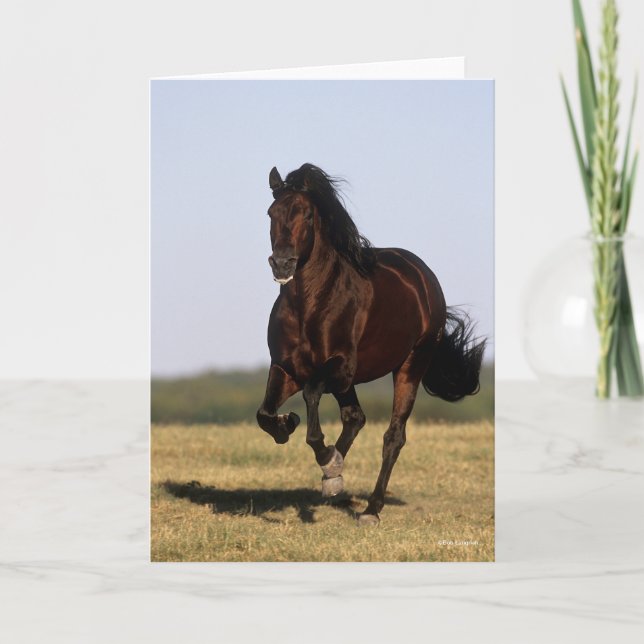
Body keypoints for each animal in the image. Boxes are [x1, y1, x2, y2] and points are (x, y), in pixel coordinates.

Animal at [256, 163, 485, 525]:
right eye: (271, 213)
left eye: (306, 215)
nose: (282, 264)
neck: (310, 304)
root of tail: (424, 277)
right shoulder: (286, 367)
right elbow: (264, 414)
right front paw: (289, 427)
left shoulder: (340, 368)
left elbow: (311, 397)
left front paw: (326, 458)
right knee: (355, 417)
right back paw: (332, 479)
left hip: (410, 365)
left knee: (393, 436)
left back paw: (370, 509)